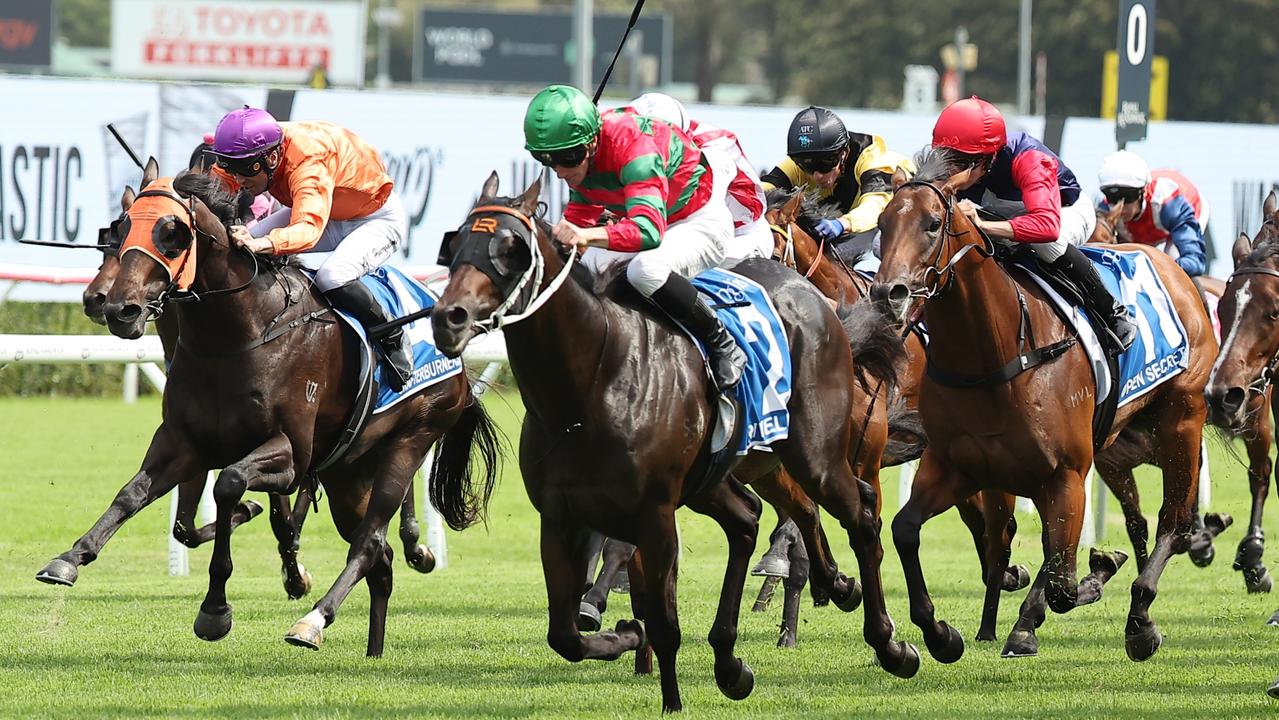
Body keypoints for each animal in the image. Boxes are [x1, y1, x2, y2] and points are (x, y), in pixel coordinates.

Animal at [51, 170, 498, 659]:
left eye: (172, 232)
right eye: (119, 229)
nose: (117, 307)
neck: (237, 334)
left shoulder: (291, 456)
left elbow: (230, 485)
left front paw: (216, 609)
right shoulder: (182, 443)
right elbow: (133, 496)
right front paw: (69, 558)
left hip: (410, 439)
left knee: (370, 542)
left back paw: (313, 622)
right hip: (347, 473)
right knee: (380, 561)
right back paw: (373, 651)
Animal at [434, 176, 915, 716]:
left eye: (511, 249)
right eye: (455, 244)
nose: (449, 318)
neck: (589, 385)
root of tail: (814, 299)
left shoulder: (654, 513)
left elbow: (663, 623)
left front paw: (671, 698)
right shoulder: (560, 517)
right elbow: (566, 635)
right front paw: (624, 634)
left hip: (815, 457)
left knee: (860, 514)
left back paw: (894, 644)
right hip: (723, 476)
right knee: (750, 519)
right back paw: (740, 654)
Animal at [864, 149, 1212, 670]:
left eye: (931, 224)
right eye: (883, 223)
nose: (889, 295)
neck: (993, 356)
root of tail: (1173, 268)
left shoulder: (1065, 476)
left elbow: (1064, 581)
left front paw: (1050, 608)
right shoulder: (955, 466)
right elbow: (906, 531)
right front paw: (940, 633)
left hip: (1182, 420)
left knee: (1175, 522)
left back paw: (1140, 620)